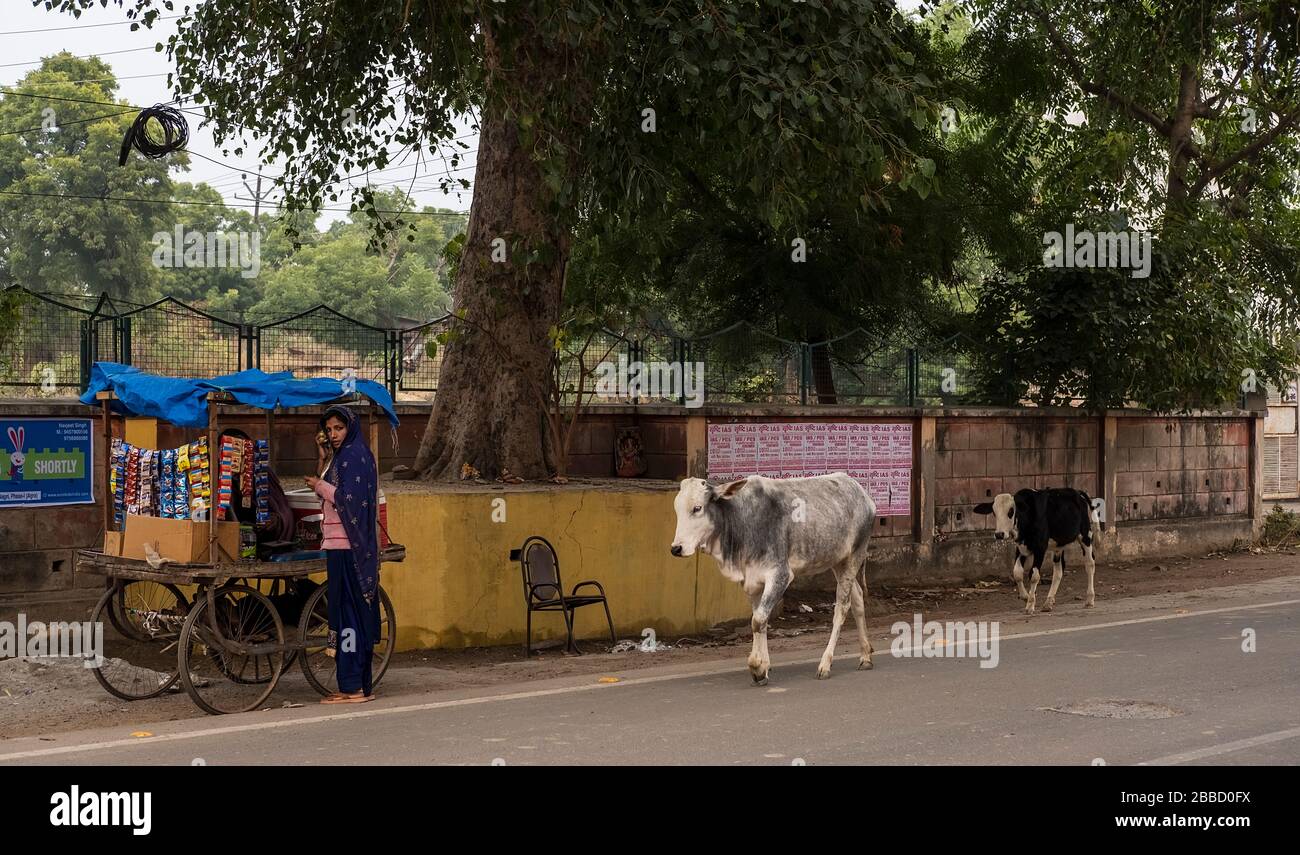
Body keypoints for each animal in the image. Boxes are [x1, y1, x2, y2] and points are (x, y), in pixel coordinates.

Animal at [670, 470, 873, 680]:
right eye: (677, 509)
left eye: (697, 508)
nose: (676, 548)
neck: (741, 518)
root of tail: (862, 494)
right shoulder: (751, 581)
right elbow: (760, 620)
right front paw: (764, 665)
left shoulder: (780, 575)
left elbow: (758, 620)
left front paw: (756, 666)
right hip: (838, 562)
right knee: (857, 598)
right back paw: (865, 655)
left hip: (855, 556)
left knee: (842, 607)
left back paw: (825, 663)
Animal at [972, 485, 1102, 613]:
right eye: (994, 512)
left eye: (1011, 511)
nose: (999, 534)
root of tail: (1077, 492)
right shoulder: (1021, 548)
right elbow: (1017, 573)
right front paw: (1025, 596)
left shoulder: (1040, 548)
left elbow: (1034, 575)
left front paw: (1030, 604)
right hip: (1058, 545)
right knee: (1058, 570)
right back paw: (1048, 602)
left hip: (1085, 535)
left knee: (1090, 564)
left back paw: (1090, 599)